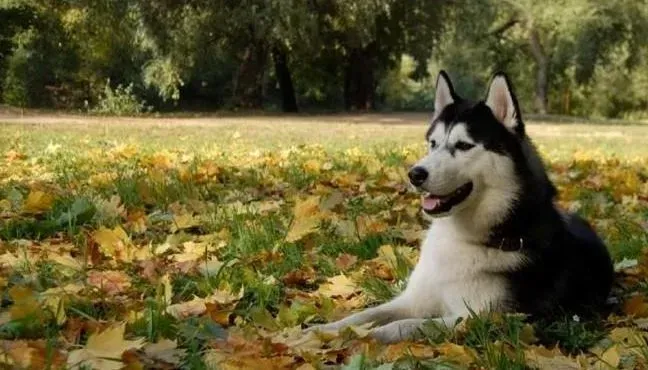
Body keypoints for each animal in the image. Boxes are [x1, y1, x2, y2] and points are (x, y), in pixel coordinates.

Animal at [306, 71, 616, 342]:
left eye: (464, 145)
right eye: (432, 143)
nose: (414, 174)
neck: (462, 237)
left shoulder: (485, 318)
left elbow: (409, 325)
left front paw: (369, 336)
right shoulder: (414, 300)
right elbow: (361, 316)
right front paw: (318, 332)